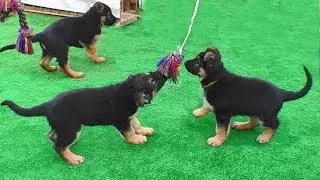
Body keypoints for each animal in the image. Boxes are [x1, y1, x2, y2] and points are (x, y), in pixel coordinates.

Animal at [0, 70, 168, 165]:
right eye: (153, 80)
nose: (163, 74)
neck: (128, 91)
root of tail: (47, 105)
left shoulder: (130, 116)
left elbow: (137, 123)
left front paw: (144, 130)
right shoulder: (121, 120)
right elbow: (130, 131)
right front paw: (137, 139)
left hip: (64, 127)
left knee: (52, 136)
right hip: (72, 127)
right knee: (58, 146)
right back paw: (72, 159)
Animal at [184, 47, 312, 146]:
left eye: (196, 62)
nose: (184, 62)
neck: (217, 78)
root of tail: (282, 92)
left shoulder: (223, 115)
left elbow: (221, 129)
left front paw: (217, 140)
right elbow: (206, 104)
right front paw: (199, 112)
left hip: (265, 116)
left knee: (275, 124)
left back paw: (265, 137)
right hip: (254, 110)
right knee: (254, 122)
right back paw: (241, 125)